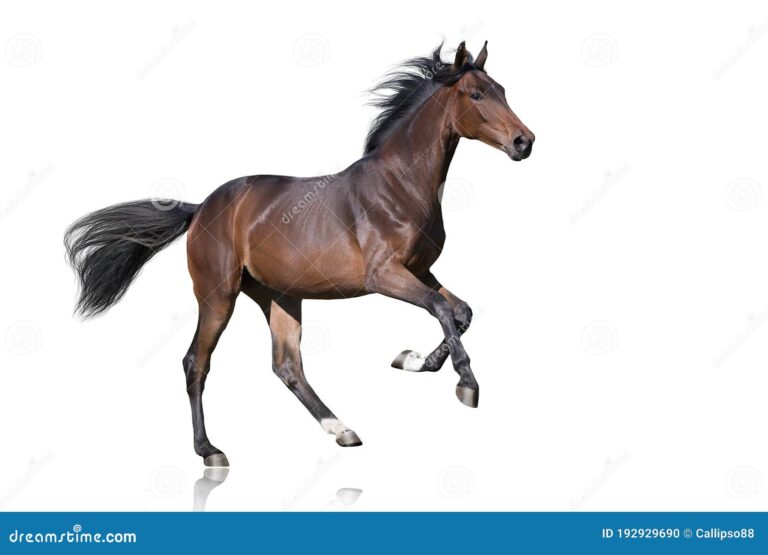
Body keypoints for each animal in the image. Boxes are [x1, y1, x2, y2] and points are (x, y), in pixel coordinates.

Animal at [64, 41, 535, 467]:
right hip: (218, 296)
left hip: (281, 296)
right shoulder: (385, 276)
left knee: (286, 365)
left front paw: (413, 360)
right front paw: (466, 383)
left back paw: (342, 429)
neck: (398, 186)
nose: (524, 141)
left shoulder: (421, 270)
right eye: (476, 95)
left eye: (502, 89)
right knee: (196, 363)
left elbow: (461, 312)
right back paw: (209, 451)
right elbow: (441, 309)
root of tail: (202, 209)